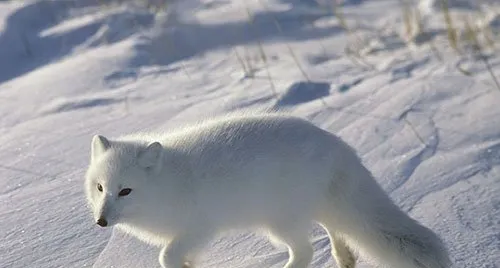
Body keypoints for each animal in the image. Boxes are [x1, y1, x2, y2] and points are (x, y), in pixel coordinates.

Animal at [84, 113, 452, 268]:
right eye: (100, 188)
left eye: (126, 191)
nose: (101, 221)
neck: (170, 184)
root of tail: (338, 146)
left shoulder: (200, 228)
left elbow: (166, 256)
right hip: (311, 209)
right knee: (334, 228)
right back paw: (344, 257)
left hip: (278, 223)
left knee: (306, 251)